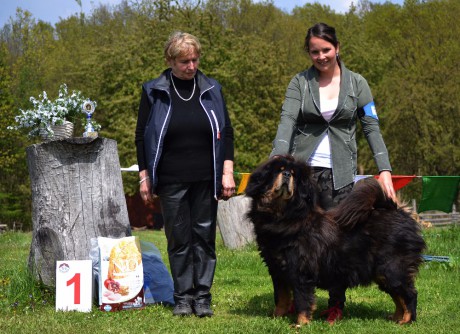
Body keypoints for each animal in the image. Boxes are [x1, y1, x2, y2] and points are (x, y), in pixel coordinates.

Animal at [246, 156, 426, 326]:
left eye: (294, 175)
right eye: (279, 170)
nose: (286, 175)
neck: (282, 216)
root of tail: (399, 212)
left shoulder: (300, 271)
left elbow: (302, 300)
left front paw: (300, 323)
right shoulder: (277, 269)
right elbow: (281, 298)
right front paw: (276, 318)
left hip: (392, 269)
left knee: (410, 295)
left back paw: (407, 320)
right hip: (383, 274)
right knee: (398, 297)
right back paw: (396, 318)